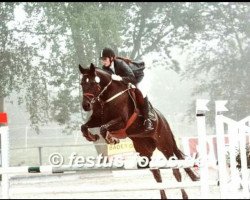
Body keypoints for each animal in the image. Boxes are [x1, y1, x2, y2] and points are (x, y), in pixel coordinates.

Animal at [78, 62, 199, 198]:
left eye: (93, 83)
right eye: (82, 84)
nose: (86, 106)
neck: (107, 97)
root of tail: (162, 118)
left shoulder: (121, 121)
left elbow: (104, 129)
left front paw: (111, 139)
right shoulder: (97, 119)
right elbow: (84, 127)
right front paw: (92, 137)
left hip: (165, 145)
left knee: (176, 169)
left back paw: (184, 195)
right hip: (144, 151)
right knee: (156, 173)